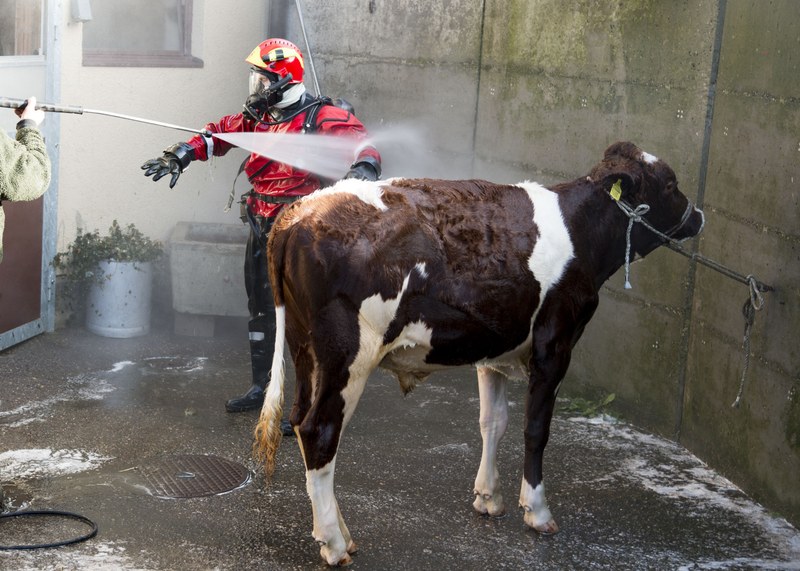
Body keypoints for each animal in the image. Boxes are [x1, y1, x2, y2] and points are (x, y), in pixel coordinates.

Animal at [253, 141, 704, 564]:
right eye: (670, 184)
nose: (699, 216)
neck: (580, 231)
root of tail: (298, 215)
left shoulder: (496, 351)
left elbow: (493, 422)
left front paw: (488, 497)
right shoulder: (554, 345)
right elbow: (535, 429)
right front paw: (537, 511)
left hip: (306, 350)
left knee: (301, 421)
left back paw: (343, 534)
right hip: (348, 355)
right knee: (320, 430)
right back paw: (332, 543)